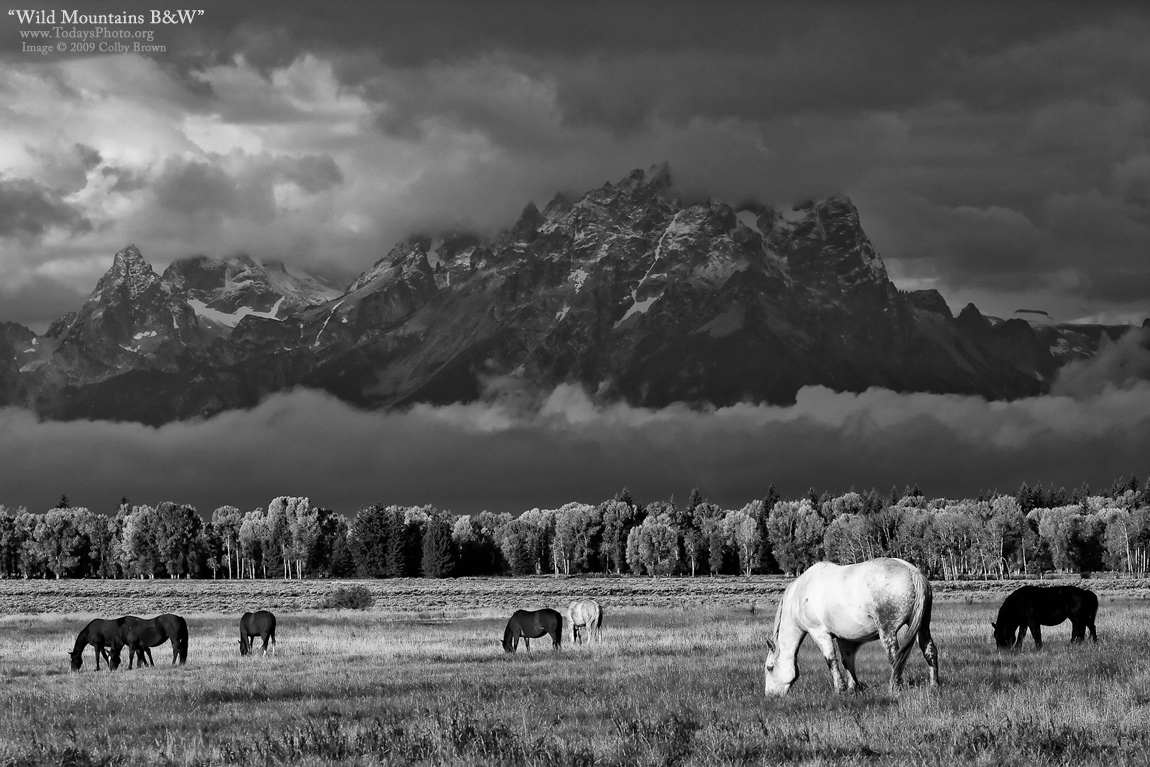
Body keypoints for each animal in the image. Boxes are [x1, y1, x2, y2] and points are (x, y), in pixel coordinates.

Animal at [763, 558, 933, 694]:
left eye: (770, 668)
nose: (770, 695)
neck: (799, 594)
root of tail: (913, 572)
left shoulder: (819, 633)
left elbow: (831, 660)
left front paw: (840, 689)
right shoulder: (844, 637)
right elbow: (847, 661)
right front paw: (853, 688)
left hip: (887, 632)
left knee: (895, 657)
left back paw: (895, 688)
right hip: (922, 626)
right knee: (929, 650)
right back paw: (934, 684)